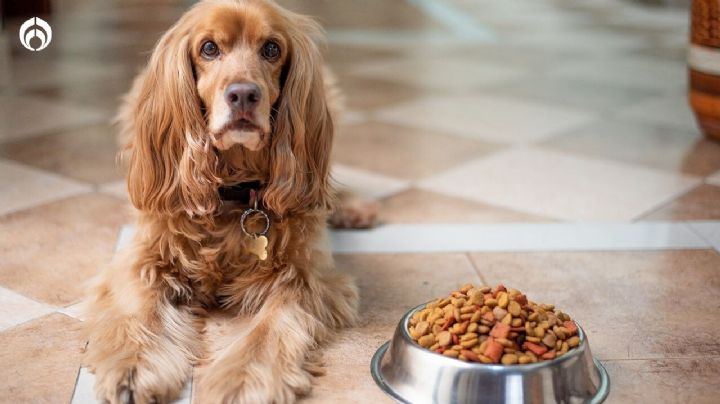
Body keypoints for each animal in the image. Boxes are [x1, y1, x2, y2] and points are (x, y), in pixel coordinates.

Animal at [84, 1, 366, 402]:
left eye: (271, 49)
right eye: (209, 48)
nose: (244, 95)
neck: (234, 191)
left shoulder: (305, 277)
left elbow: (268, 331)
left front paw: (242, 381)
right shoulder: (143, 257)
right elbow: (141, 310)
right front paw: (133, 367)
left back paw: (353, 207)